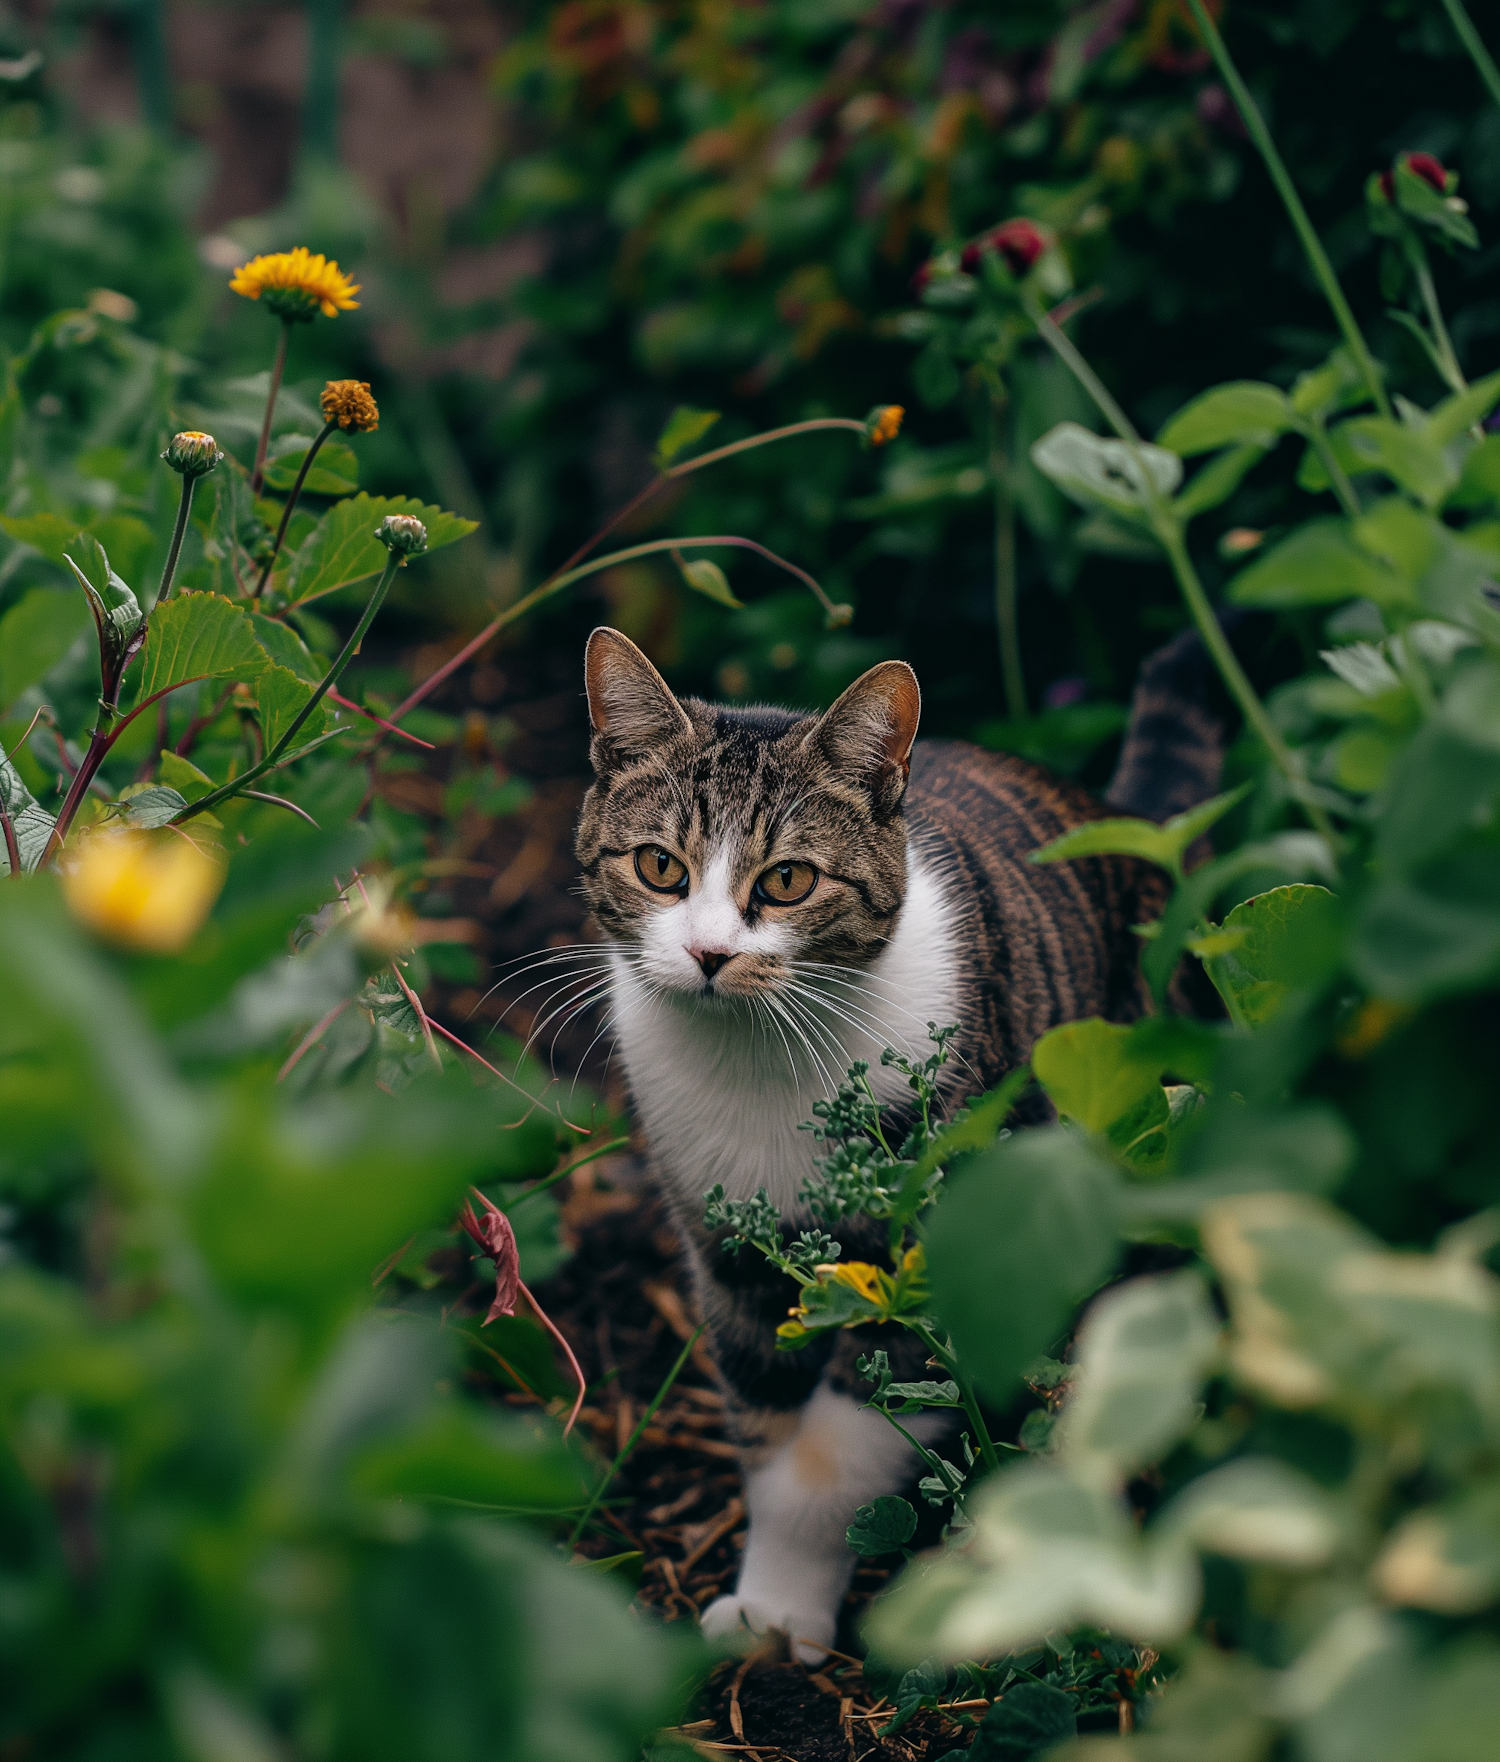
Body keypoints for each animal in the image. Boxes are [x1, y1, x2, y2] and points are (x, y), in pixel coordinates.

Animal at [571, 627, 1233, 1656]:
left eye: (789, 880)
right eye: (659, 868)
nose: (710, 955)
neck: (758, 1061)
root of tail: (1121, 813)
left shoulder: (933, 1258)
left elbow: (834, 1459)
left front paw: (790, 1611)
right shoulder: (734, 1264)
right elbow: (768, 1435)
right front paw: (767, 1605)